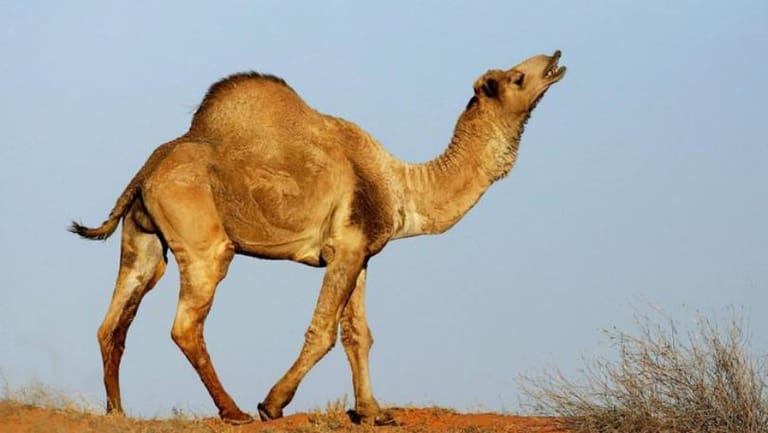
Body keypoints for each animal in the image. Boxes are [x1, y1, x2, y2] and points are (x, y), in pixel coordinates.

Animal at [70, 51, 566, 425]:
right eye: (517, 77)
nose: (555, 58)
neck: (401, 186)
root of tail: (148, 169)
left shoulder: (360, 252)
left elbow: (359, 335)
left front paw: (373, 413)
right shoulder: (345, 247)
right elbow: (323, 332)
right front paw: (272, 404)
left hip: (143, 239)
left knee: (113, 320)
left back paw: (117, 412)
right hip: (204, 243)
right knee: (186, 324)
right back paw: (234, 411)